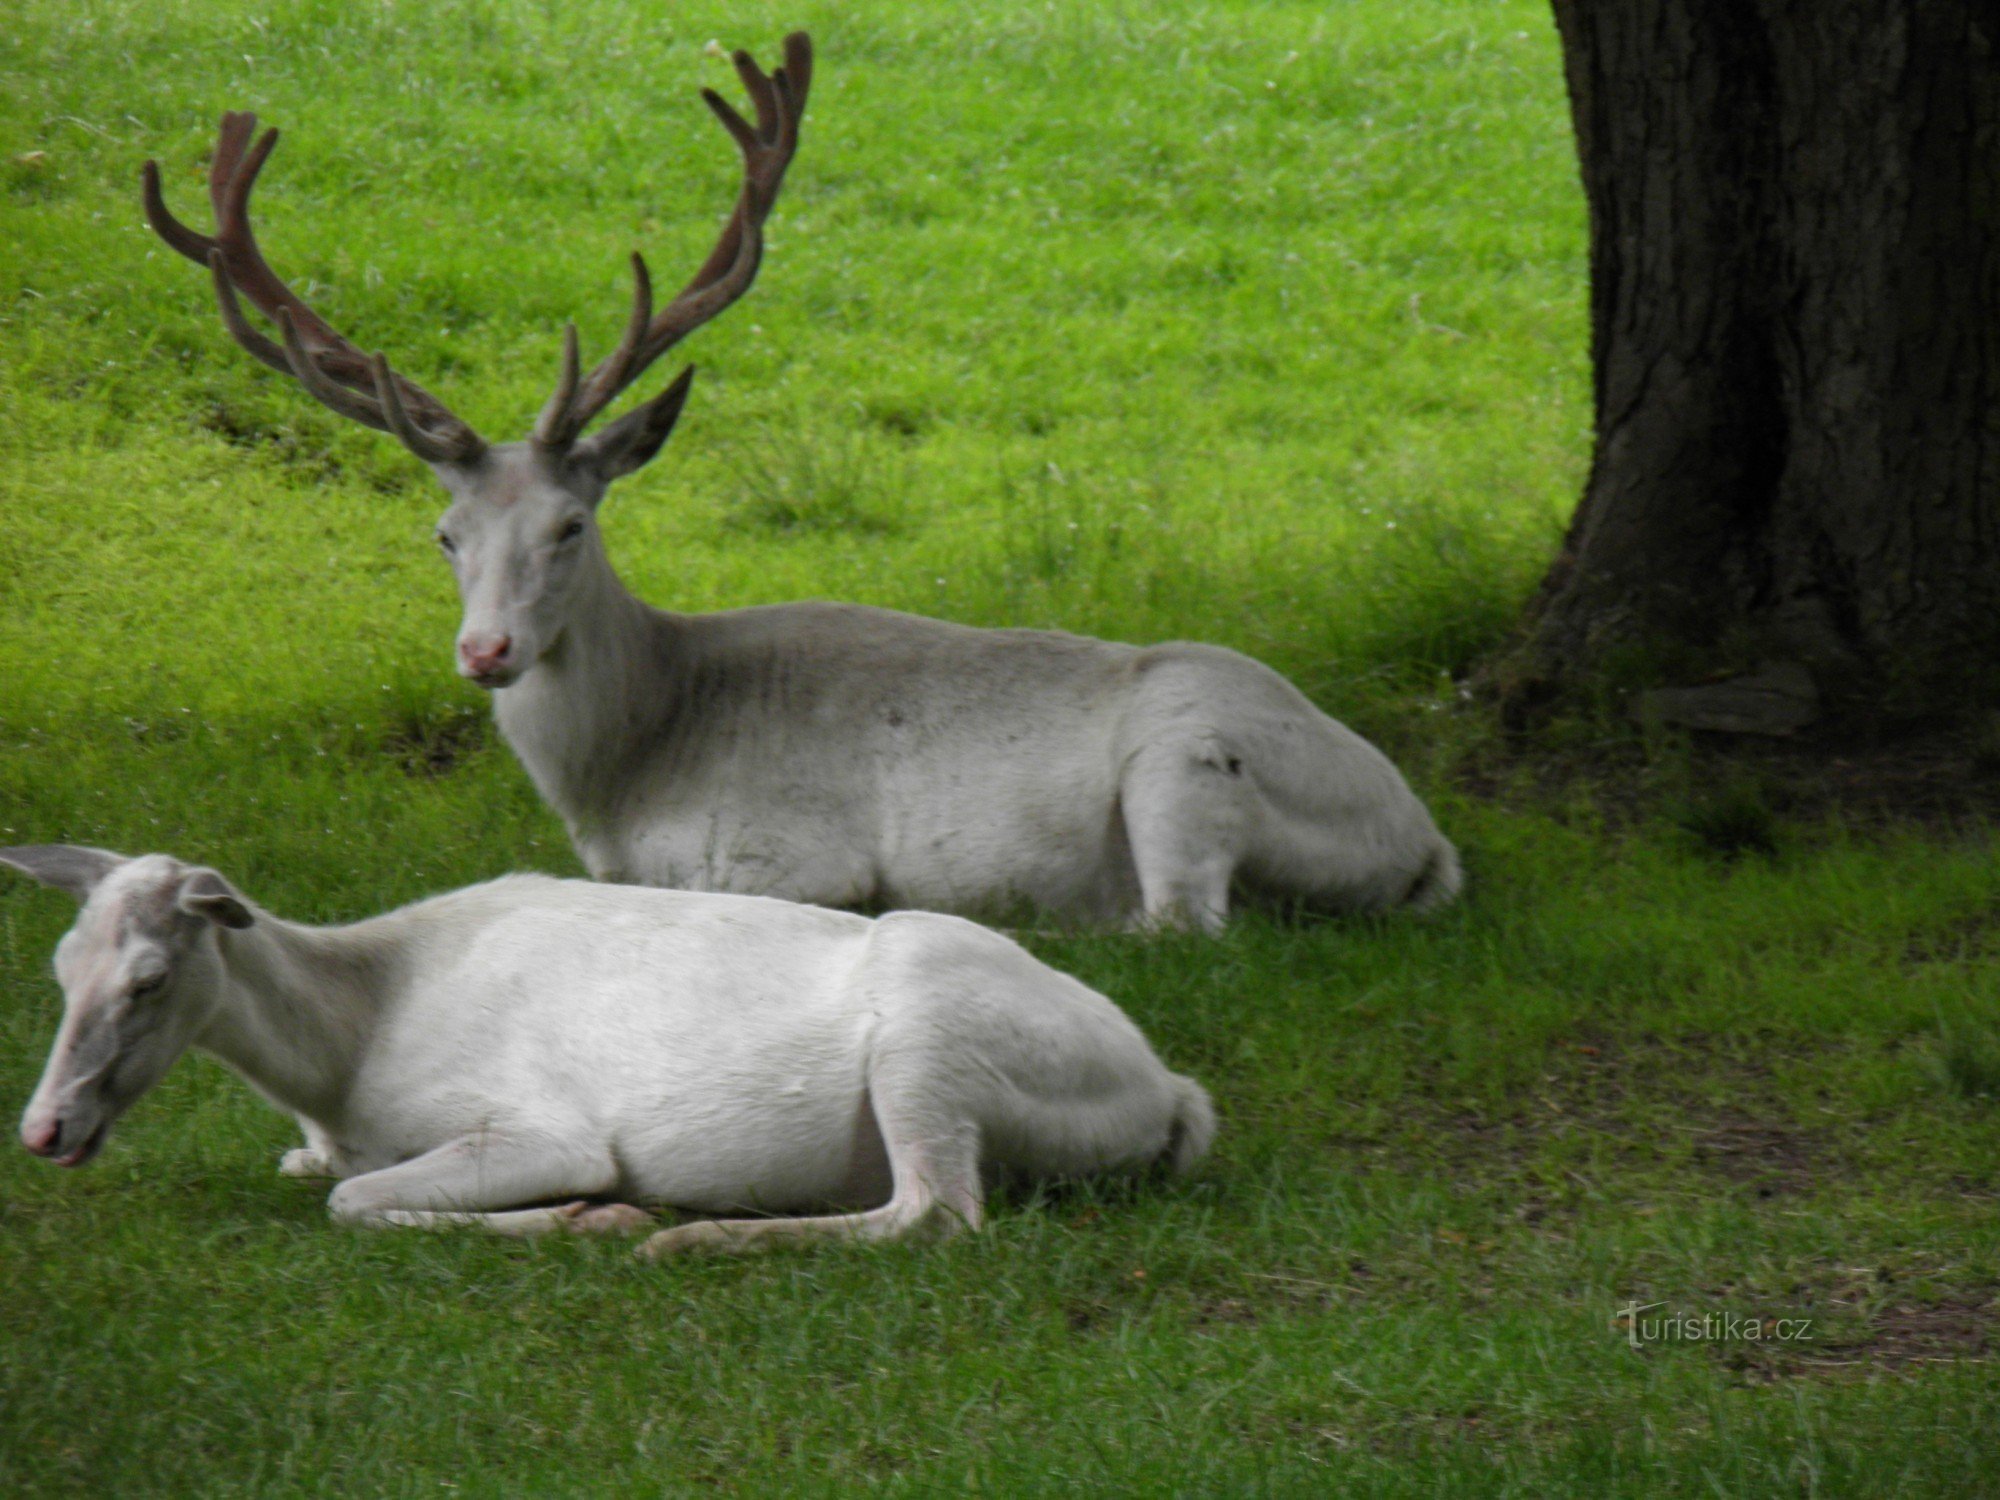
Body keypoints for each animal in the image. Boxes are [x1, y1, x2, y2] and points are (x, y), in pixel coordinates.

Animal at [3, 848, 1216, 1256]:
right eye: (58, 967)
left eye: (148, 979)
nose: (45, 1130)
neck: (345, 1058)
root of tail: (1168, 1093)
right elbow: (320, 1181)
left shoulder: (542, 1127)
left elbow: (351, 1204)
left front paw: (599, 1215)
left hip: (930, 1041)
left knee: (937, 1211)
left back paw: (688, 1238)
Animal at [141, 32, 1456, 928]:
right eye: (444, 533)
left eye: (571, 525)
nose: (486, 651)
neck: (623, 778)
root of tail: (1423, 834)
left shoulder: (796, 857)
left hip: (1186, 762)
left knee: (1183, 922)